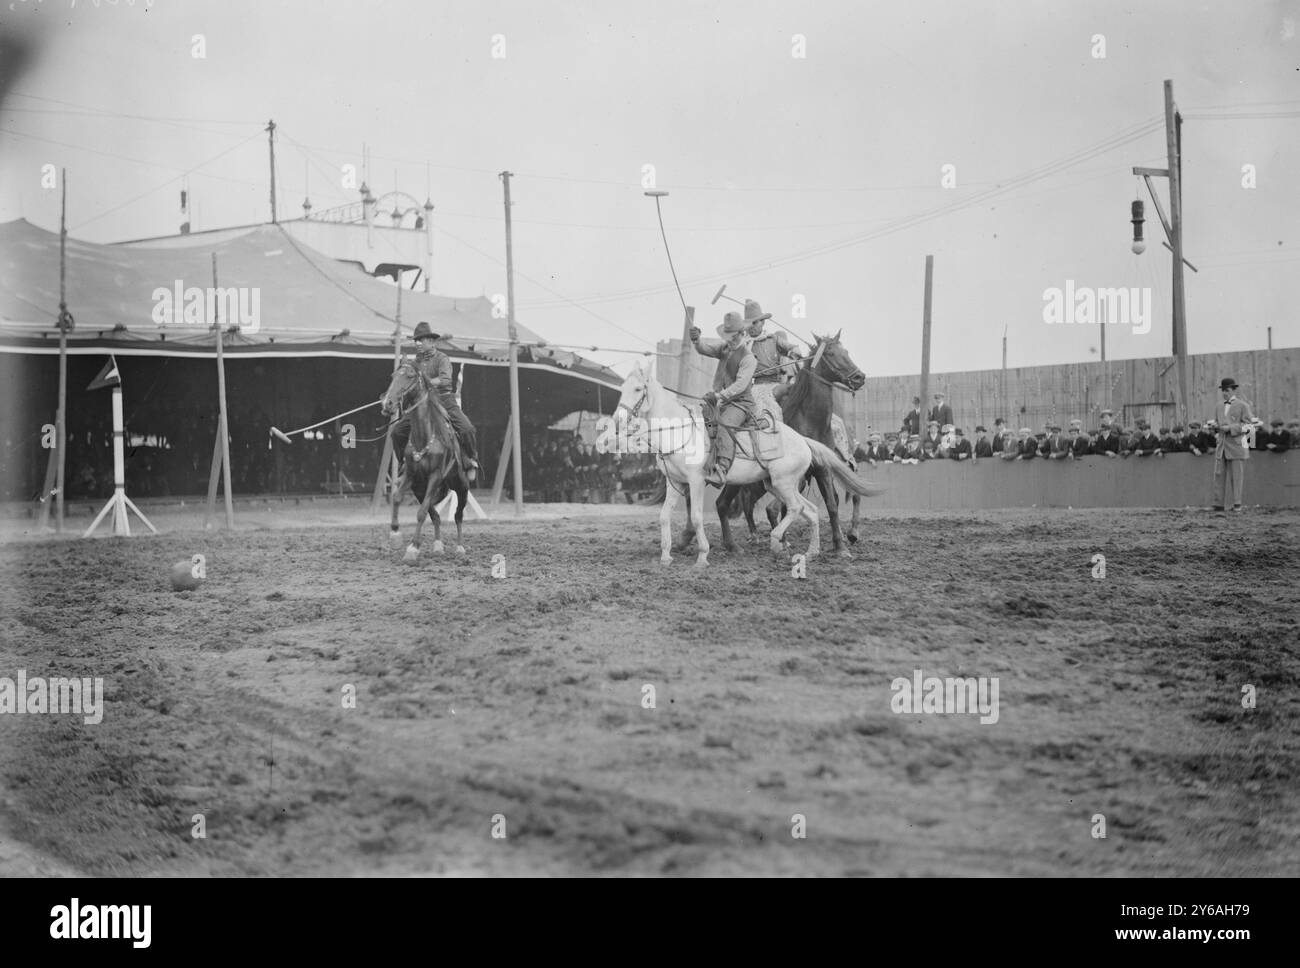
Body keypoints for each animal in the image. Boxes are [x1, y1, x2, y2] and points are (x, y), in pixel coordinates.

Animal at [379, 361, 470, 558]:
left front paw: (413, 548)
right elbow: (397, 498)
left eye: (410, 376)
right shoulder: (411, 475)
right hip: (420, 490)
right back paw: (437, 545)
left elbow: (421, 514)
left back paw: (460, 547)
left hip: (461, 486)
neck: (424, 436)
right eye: (393, 376)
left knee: (458, 515)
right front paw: (395, 534)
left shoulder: (435, 476)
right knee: (435, 515)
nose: (387, 403)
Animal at [608, 356, 873, 566]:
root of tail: (803, 440)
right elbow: (664, 516)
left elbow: (697, 516)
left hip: (784, 482)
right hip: (775, 484)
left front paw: (702, 557)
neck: (680, 431)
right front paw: (665, 556)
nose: (617, 420)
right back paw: (810, 552)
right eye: (622, 387)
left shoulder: (695, 481)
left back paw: (777, 543)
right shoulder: (675, 483)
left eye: (638, 389)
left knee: (797, 508)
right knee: (810, 510)